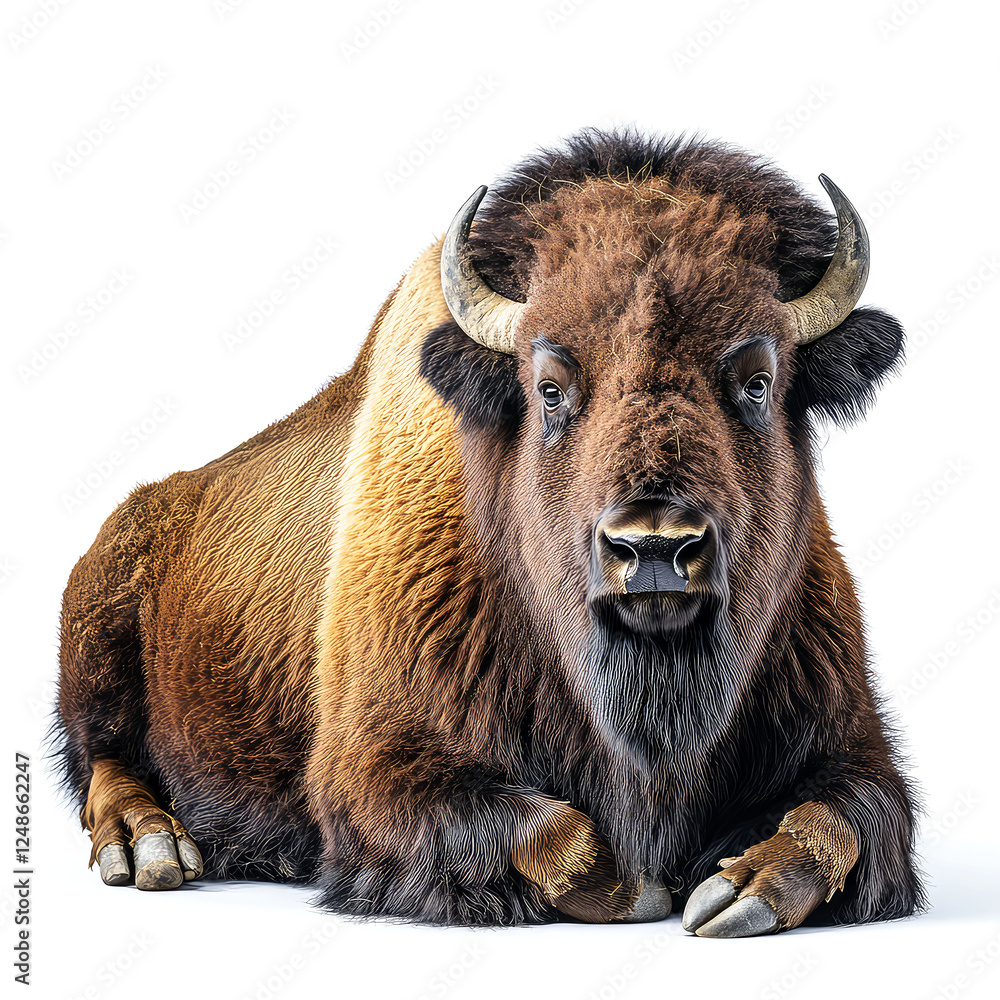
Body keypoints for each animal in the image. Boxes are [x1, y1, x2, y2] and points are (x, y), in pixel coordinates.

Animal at [57, 129, 923, 935]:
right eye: (549, 388)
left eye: (757, 381)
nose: (652, 548)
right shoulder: (371, 767)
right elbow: (560, 833)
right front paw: (647, 887)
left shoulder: (851, 744)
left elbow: (841, 819)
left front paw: (735, 892)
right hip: (96, 642)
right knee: (103, 754)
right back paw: (152, 849)